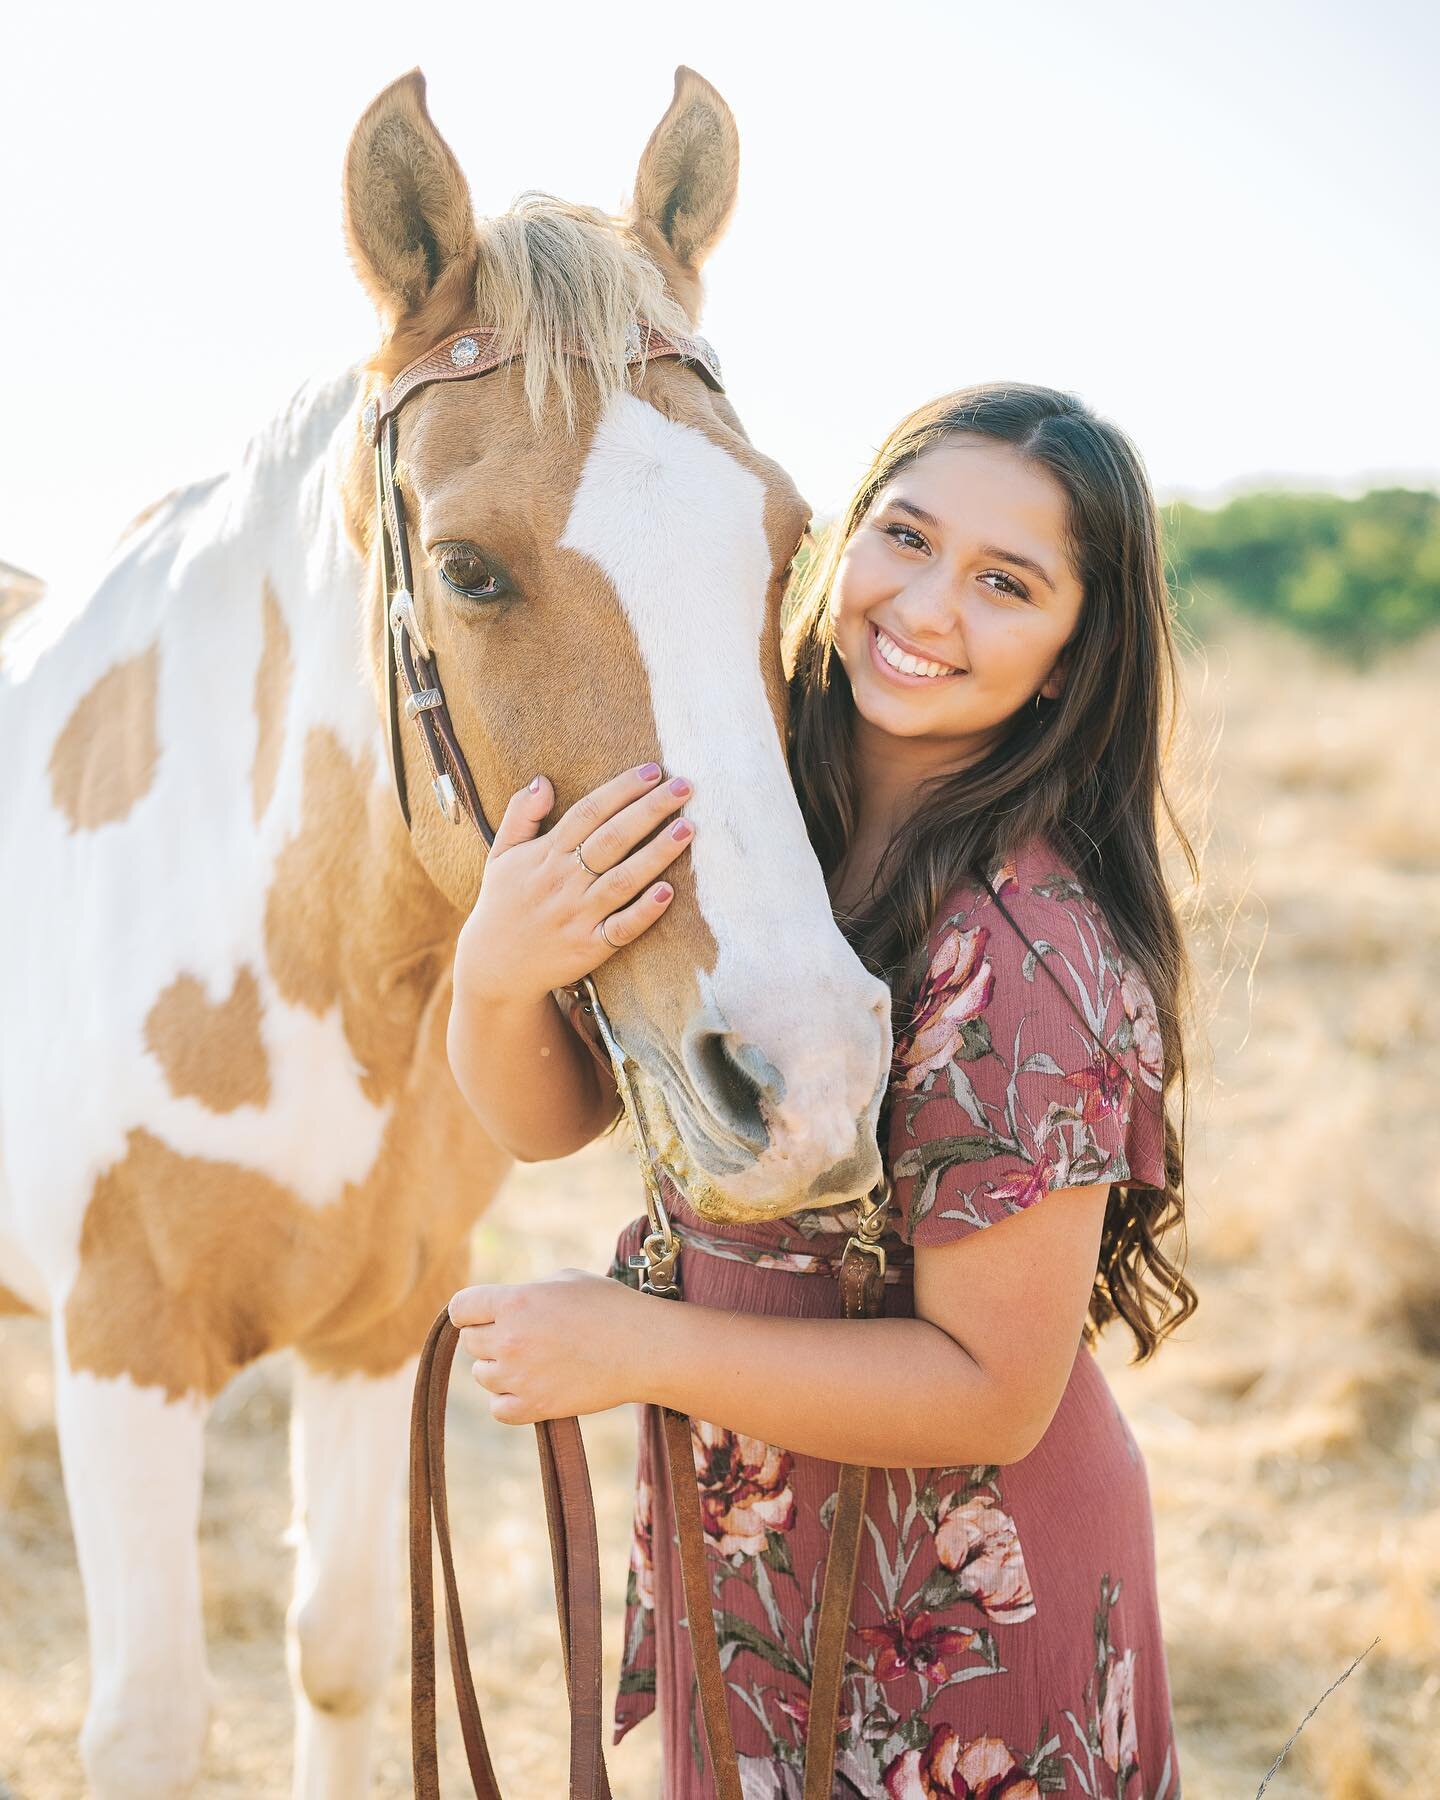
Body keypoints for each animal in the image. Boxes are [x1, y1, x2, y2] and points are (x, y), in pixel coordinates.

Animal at [0, 66, 892, 1800]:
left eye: (788, 539)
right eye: (470, 571)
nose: (811, 1075)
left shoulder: (378, 1328)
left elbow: (350, 1652)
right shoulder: (121, 1353)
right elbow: (150, 1722)